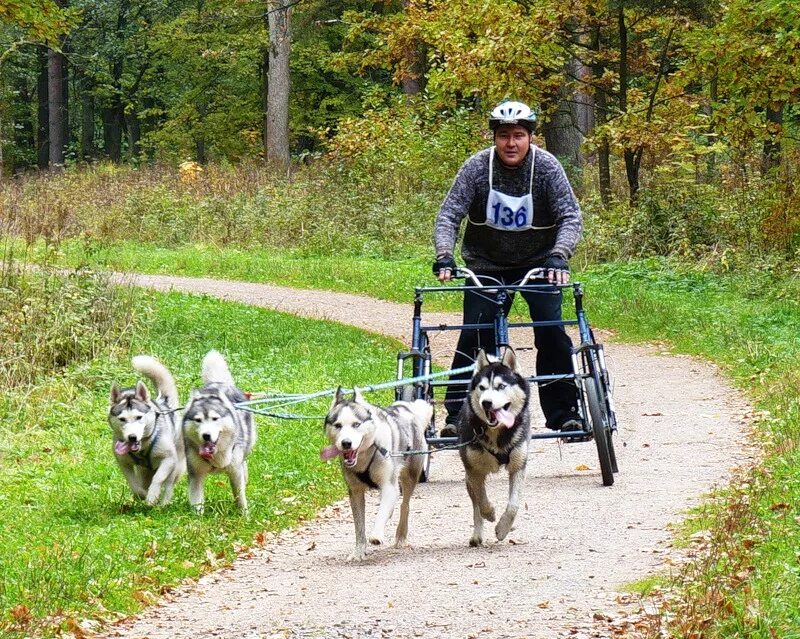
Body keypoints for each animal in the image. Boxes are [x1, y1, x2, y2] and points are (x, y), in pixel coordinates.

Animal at [108, 356, 186, 504]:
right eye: (122, 419)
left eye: (139, 417)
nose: (132, 437)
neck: (142, 449)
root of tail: (163, 402)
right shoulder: (123, 463)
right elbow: (134, 485)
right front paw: (142, 495)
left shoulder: (168, 459)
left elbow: (158, 478)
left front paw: (152, 496)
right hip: (144, 471)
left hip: (176, 466)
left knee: (168, 484)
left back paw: (163, 503)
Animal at [182, 350, 255, 516]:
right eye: (198, 420)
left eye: (215, 418)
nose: (206, 435)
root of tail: (219, 383)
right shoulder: (195, 473)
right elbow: (196, 500)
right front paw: (197, 518)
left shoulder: (235, 471)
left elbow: (240, 495)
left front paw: (244, 515)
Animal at [322, 388, 432, 564]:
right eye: (338, 425)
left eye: (356, 424)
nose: (346, 443)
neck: (365, 454)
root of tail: (407, 408)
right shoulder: (355, 492)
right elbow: (359, 526)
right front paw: (359, 551)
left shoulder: (388, 485)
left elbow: (382, 513)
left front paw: (376, 535)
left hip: (410, 475)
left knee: (405, 505)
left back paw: (401, 535)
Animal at [456, 348, 532, 548]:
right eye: (482, 388)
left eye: (501, 386)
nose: (486, 402)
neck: (497, 434)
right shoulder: (473, 471)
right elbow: (481, 500)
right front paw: (489, 512)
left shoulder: (518, 466)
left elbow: (514, 505)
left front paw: (503, 529)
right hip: (468, 476)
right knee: (475, 506)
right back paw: (477, 535)